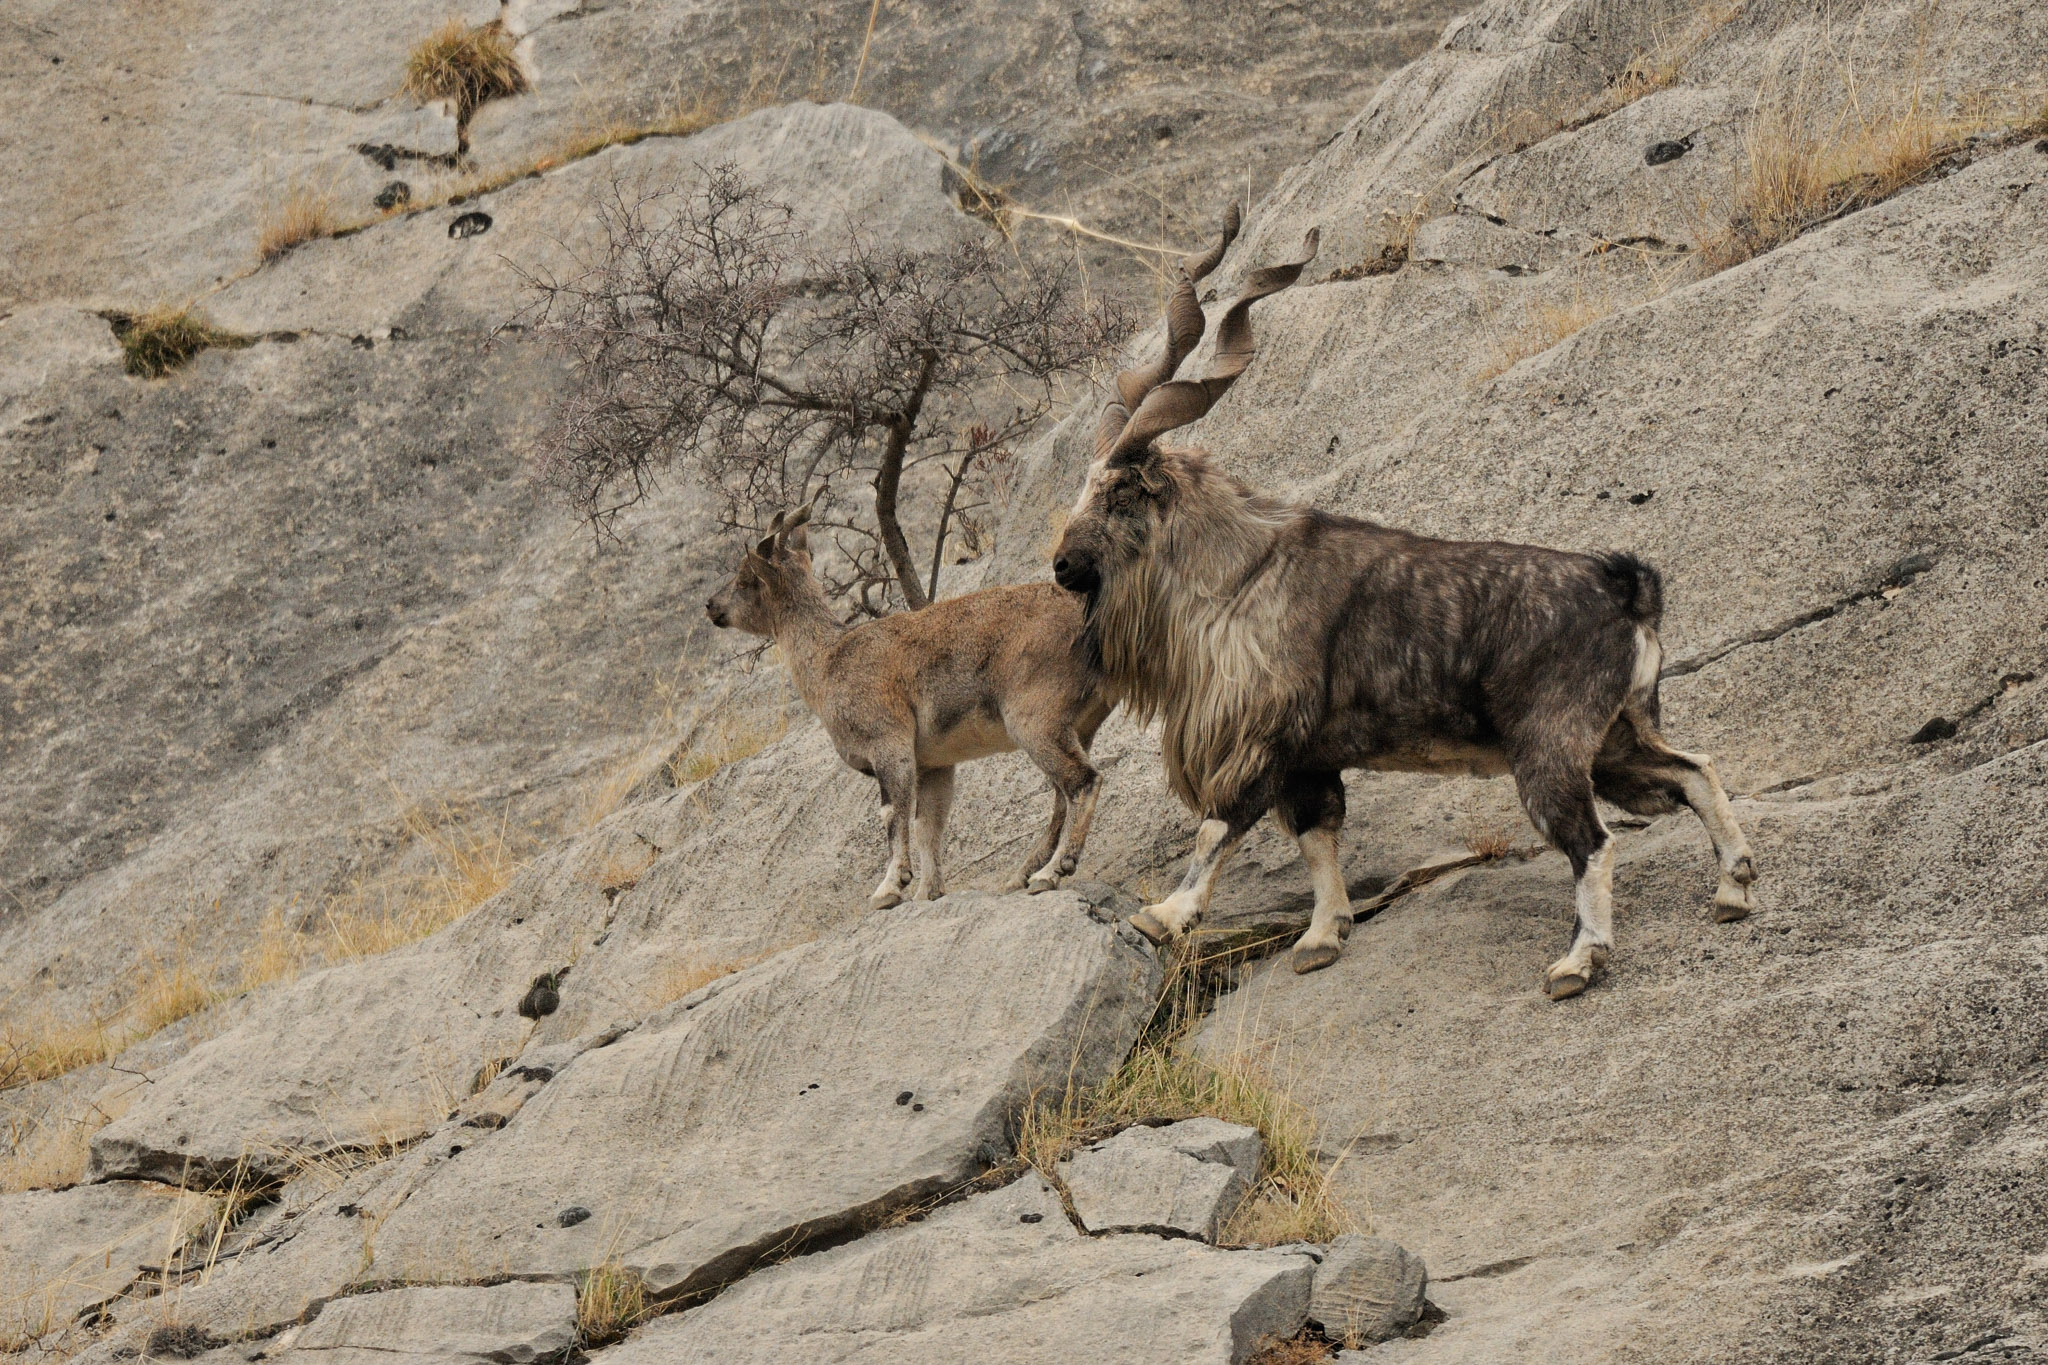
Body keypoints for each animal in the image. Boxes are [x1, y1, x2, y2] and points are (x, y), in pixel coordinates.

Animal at [707, 506, 1115, 908]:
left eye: (745, 579)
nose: (711, 606)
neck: (831, 660)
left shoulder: (889, 742)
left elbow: (893, 813)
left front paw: (889, 888)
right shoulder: (935, 763)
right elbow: (927, 824)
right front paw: (927, 892)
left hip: (1034, 719)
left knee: (1083, 782)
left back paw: (1051, 872)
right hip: (1078, 726)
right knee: (1062, 795)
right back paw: (1025, 874)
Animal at [1050, 208, 1757, 999]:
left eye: (1118, 492)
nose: (1062, 566)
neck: (1241, 574)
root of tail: (1626, 588)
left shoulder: (1261, 743)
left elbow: (1218, 827)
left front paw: (1164, 915)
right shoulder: (1309, 759)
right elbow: (1318, 836)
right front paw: (1322, 937)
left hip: (1550, 743)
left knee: (1594, 840)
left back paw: (1579, 960)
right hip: (1616, 737)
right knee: (1693, 768)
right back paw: (1734, 888)